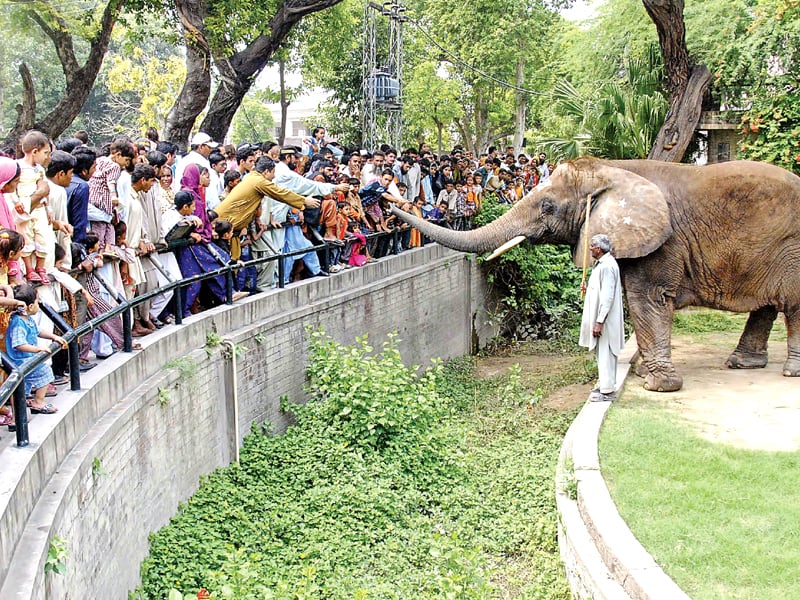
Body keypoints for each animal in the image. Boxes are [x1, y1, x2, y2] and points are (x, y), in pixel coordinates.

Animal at [390, 157, 800, 392]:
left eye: (547, 206)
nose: (393, 207)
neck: (611, 169)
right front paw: (644, 376)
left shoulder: (662, 241)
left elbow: (647, 299)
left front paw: (657, 385)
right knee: (767, 305)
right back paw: (742, 364)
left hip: (791, 246)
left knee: (793, 306)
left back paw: (790, 373)